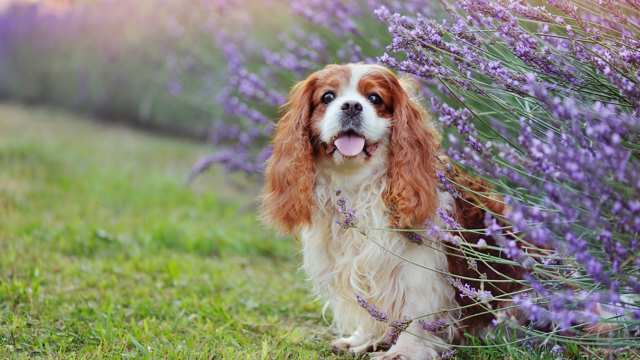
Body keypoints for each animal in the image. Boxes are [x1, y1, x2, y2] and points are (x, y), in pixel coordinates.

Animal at [260, 63, 524, 358]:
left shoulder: (421, 268)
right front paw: (363, 339)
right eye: (327, 97)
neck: (355, 185)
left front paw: (406, 350)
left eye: (375, 98)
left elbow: (419, 313)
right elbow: (369, 306)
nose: (351, 106)